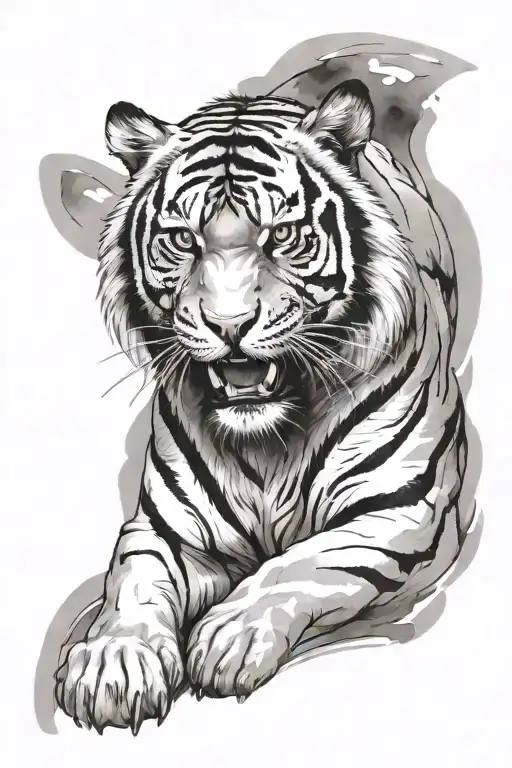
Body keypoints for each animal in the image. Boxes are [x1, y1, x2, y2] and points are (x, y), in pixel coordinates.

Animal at [54, 78, 469, 734]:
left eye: (280, 236)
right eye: (183, 240)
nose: (229, 326)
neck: (268, 439)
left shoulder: (400, 508)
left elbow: (306, 562)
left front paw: (231, 636)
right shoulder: (166, 528)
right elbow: (132, 582)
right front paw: (112, 662)